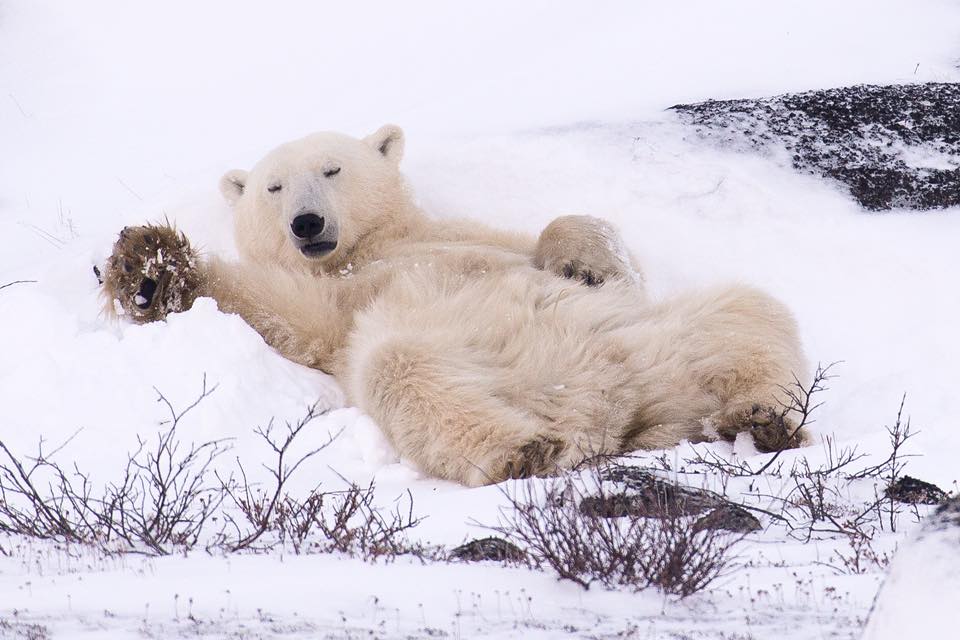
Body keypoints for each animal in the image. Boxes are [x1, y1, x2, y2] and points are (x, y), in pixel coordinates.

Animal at [101, 124, 809, 486]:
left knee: (747, 313)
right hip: (461, 361)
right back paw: (522, 450)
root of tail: (608, 413)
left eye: (332, 169)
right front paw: (150, 268)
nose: (306, 223)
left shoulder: (473, 236)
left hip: (651, 341)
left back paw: (762, 417)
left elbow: (589, 248)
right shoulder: (338, 305)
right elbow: (284, 308)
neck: (374, 247)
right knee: (402, 370)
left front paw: (583, 263)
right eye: (273, 187)